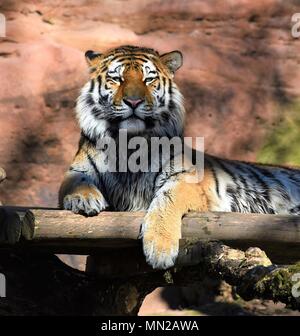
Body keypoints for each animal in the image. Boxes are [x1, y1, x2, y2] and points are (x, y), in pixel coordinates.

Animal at [59, 45, 300, 270]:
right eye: (117, 79)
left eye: (149, 79)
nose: (133, 102)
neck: (129, 142)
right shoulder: (77, 170)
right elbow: (75, 182)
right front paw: (84, 199)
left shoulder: (185, 178)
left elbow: (166, 200)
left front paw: (160, 250)